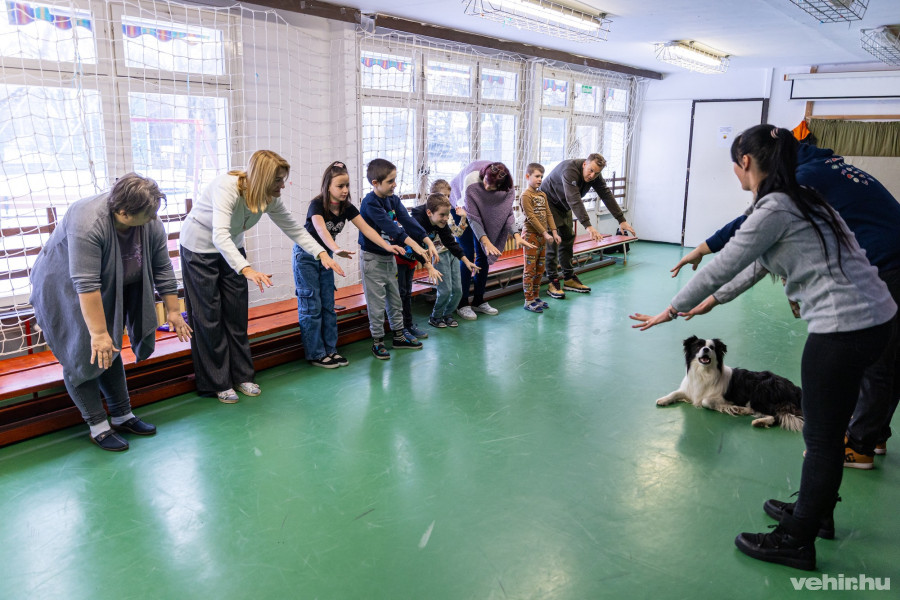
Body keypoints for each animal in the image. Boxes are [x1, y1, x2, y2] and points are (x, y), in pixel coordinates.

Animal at [655, 336, 804, 431]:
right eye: (698, 346)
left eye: (712, 348)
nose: (706, 349)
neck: (704, 372)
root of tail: (795, 388)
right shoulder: (690, 390)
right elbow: (675, 393)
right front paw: (663, 399)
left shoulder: (721, 397)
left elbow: (705, 401)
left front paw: (728, 407)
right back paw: (743, 411)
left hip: (760, 392)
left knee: (776, 415)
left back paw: (758, 421)